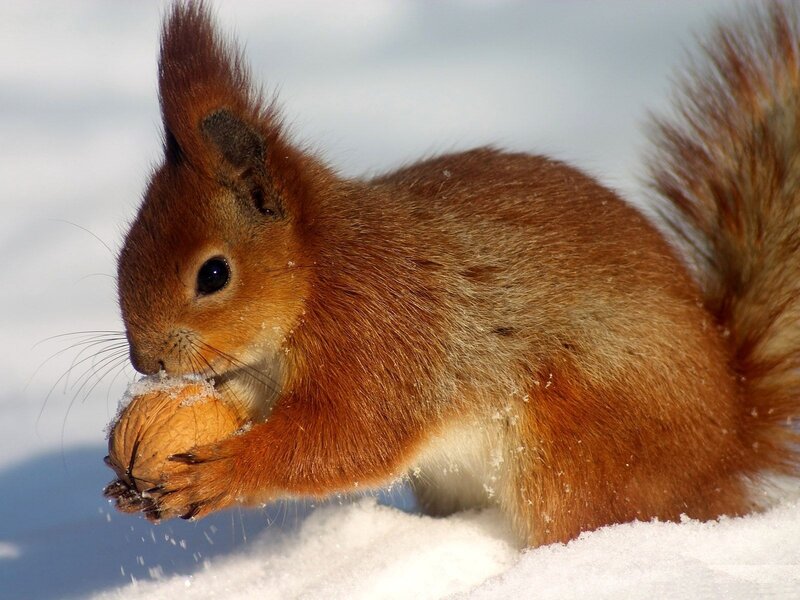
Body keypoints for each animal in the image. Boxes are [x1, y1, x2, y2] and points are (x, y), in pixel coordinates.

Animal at [104, 2, 800, 547]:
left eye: (213, 274)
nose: (146, 361)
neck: (320, 276)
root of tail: (731, 439)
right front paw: (128, 463)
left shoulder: (380, 336)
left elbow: (346, 440)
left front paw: (219, 473)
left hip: (579, 450)